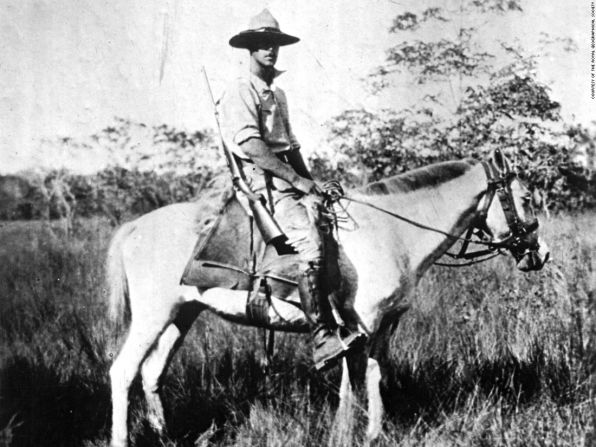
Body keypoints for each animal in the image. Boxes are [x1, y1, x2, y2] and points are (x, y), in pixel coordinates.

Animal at [106, 152, 548, 446]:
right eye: (526, 198)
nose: (540, 253)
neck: (392, 232)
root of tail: (135, 226)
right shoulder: (356, 329)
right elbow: (350, 388)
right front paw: (343, 435)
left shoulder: (383, 328)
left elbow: (373, 378)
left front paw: (374, 433)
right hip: (152, 317)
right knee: (123, 372)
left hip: (181, 315)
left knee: (151, 373)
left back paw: (164, 436)